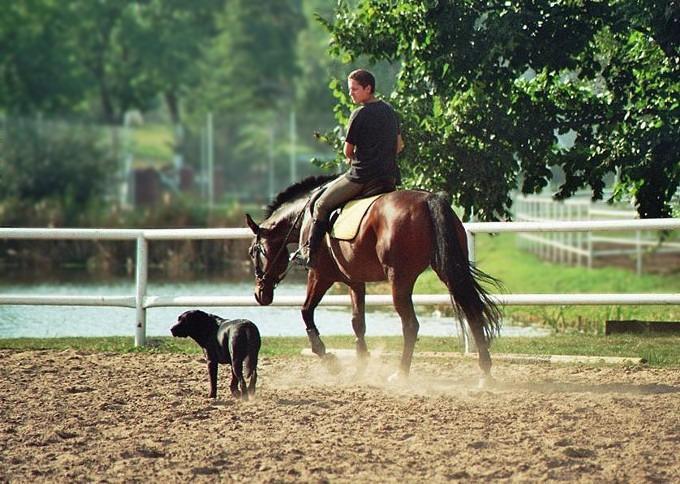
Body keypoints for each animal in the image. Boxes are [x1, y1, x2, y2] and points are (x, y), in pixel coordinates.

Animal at [247, 176, 502, 384]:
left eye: (253, 252)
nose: (260, 294)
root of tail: (428, 199)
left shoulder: (320, 275)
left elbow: (306, 311)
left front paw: (329, 359)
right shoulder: (354, 281)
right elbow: (358, 322)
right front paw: (361, 365)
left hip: (399, 280)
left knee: (411, 325)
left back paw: (401, 374)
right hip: (448, 270)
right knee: (472, 311)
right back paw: (485, 373)